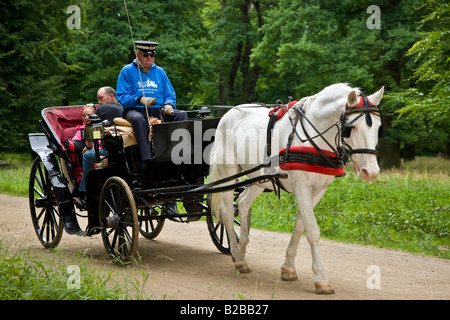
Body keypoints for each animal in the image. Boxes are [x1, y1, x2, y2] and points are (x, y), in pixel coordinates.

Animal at [210, 83, 384, 296]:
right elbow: (312, 230)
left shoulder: (318, 191)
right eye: (350, 129)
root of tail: (229, 113)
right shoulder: (301, 187)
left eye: (379, 128)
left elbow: (300, 226)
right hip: (228, 172)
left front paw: (288, 268)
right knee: (227, 213)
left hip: (260, 178)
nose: (371, 172)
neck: (313, 135)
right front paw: (321, 279)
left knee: (242, 202)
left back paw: (241, 252)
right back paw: (237, 256)